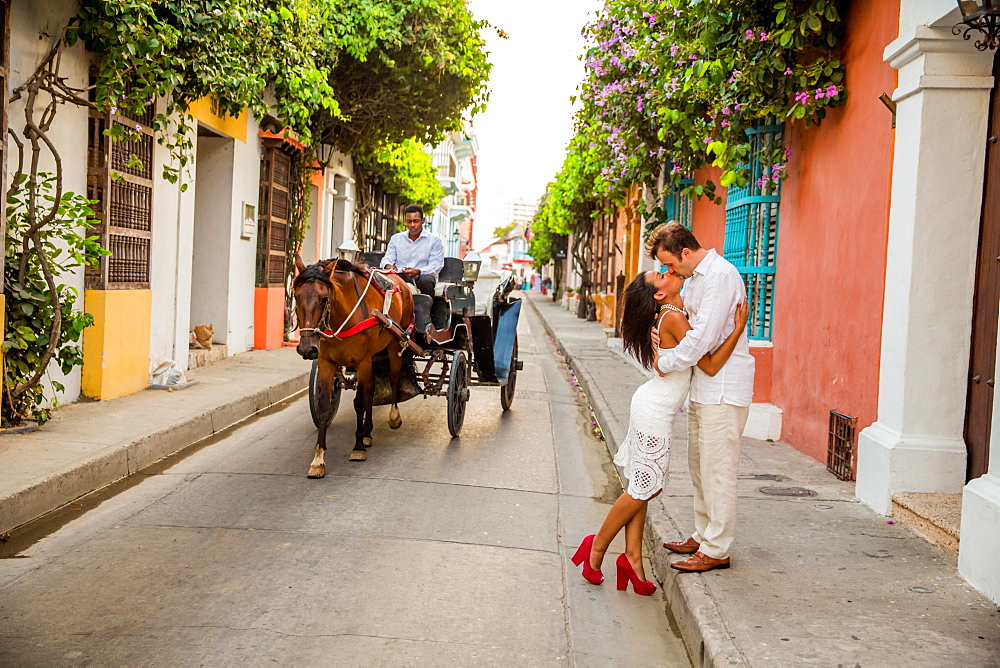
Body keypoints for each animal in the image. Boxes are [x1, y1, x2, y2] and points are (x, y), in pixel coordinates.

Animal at [292, 254, 416, 474]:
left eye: (324, 298)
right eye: (296, 296)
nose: (307, 349)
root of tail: (400, 279)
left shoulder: (362, 361)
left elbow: (359, 402)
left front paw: (357, 448)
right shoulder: (325, 362)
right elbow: (324, 406)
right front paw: (318, 458)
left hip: (394, 345)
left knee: (393, 378)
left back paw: (393, 417)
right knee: (371, 388)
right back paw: (367, 433)